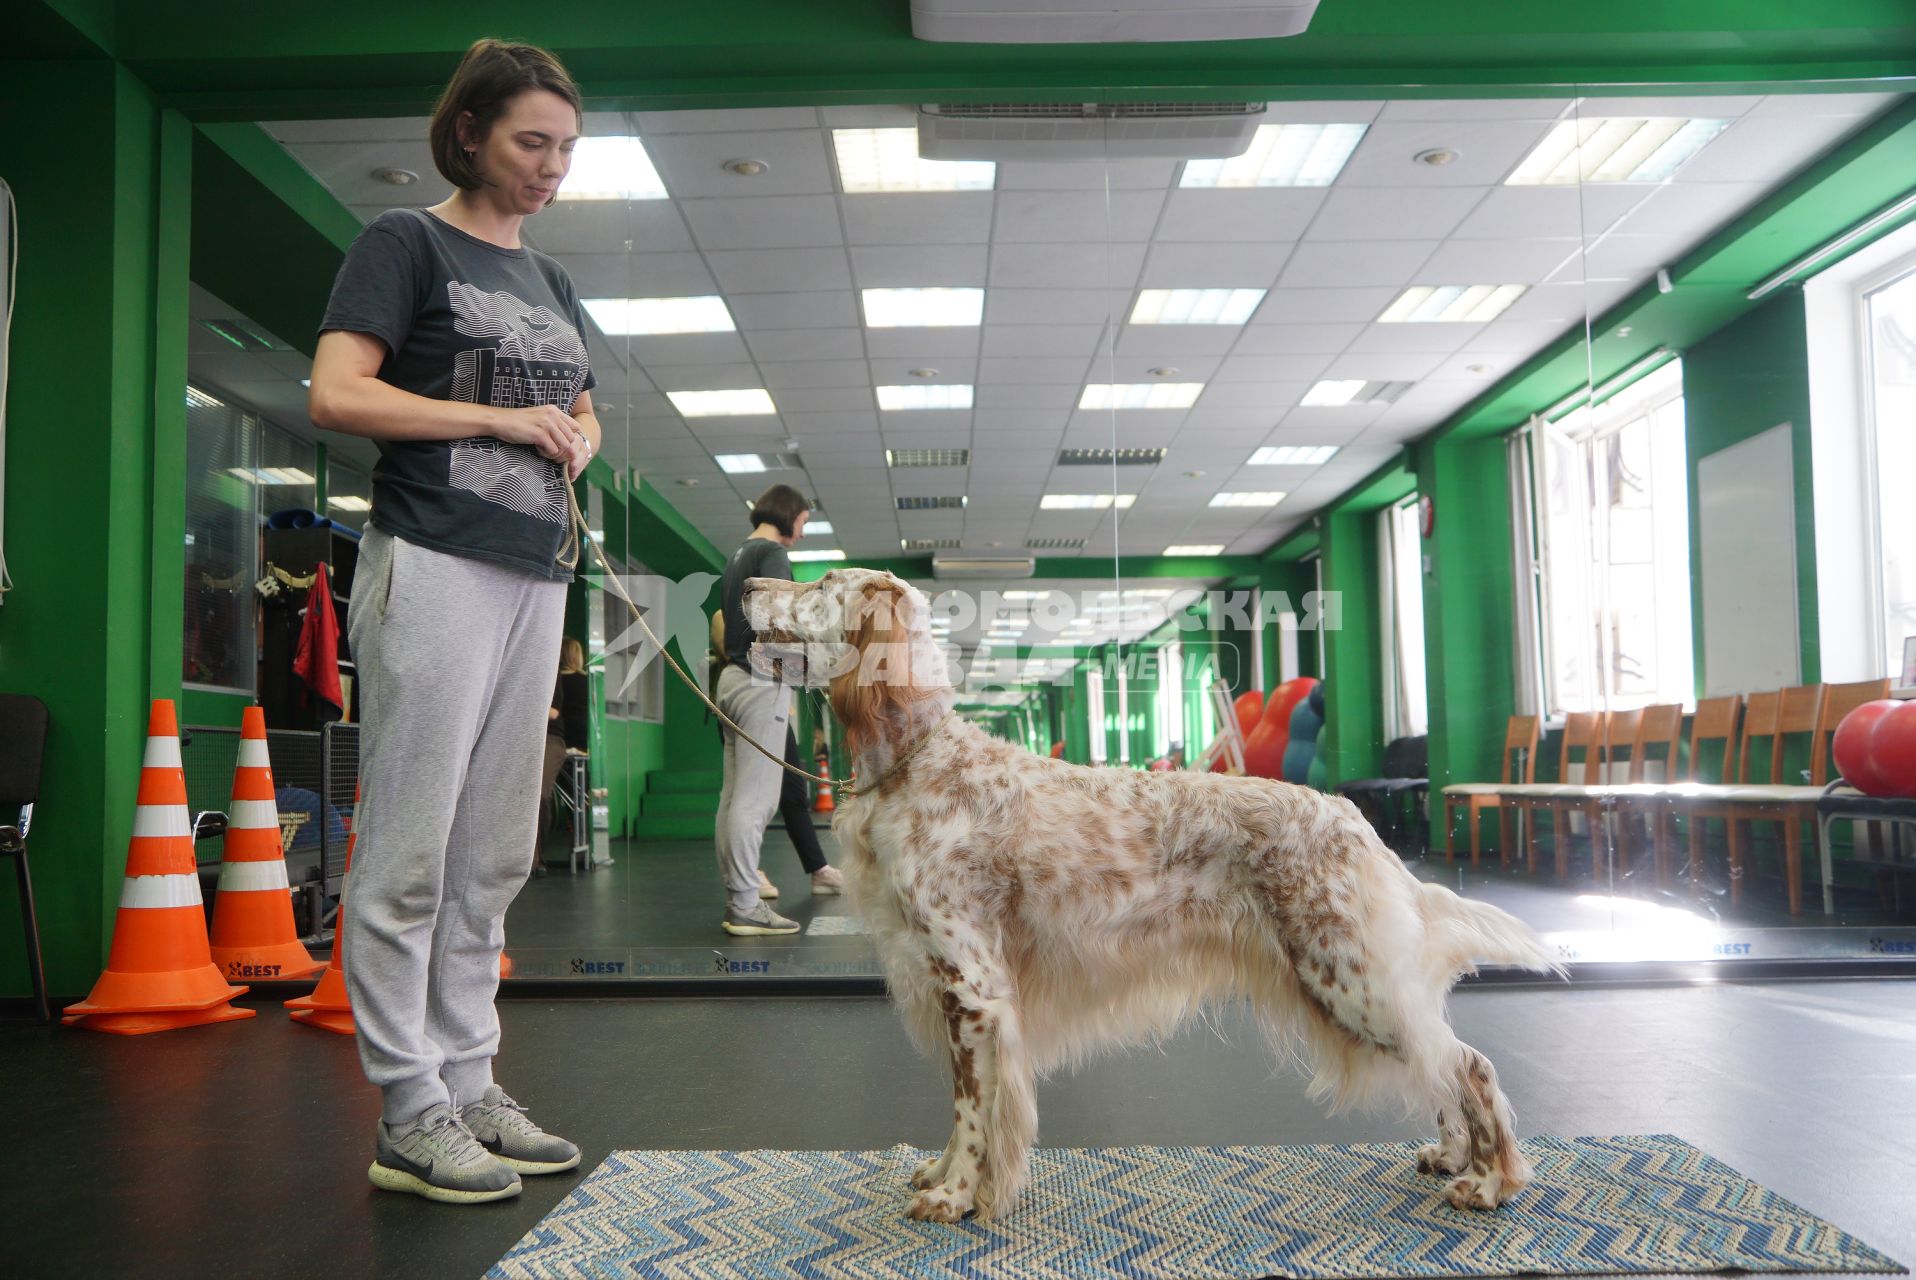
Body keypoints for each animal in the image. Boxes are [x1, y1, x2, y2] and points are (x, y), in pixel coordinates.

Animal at [739, 567, 1563, 1218]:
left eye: (819, 583)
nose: (744, 585)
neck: (918, 760)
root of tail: (1351, 817)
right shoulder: (947, 984)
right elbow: (961, 1105)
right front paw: (944, 1175)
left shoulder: (970, 985)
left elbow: (974, 1107)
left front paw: (955, 1195)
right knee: (1438, 1059)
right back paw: (1452, 1156)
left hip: (1347, 974)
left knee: (1466, 1064)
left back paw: (1489, 1182)